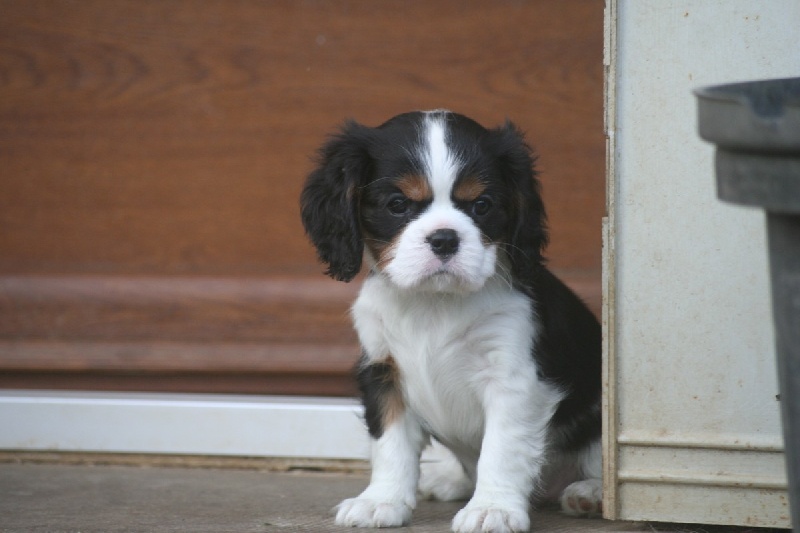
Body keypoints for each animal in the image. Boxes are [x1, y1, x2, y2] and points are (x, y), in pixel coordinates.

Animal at [300, 110, 600, 528]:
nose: (444, 239)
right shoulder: (383, 371)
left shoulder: (514, 378)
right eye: (397, 204)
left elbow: (502, 448)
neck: (434, 302)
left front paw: (491, 508)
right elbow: (390, 443)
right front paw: (381, 501)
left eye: (482, 205)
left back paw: (590, 492)